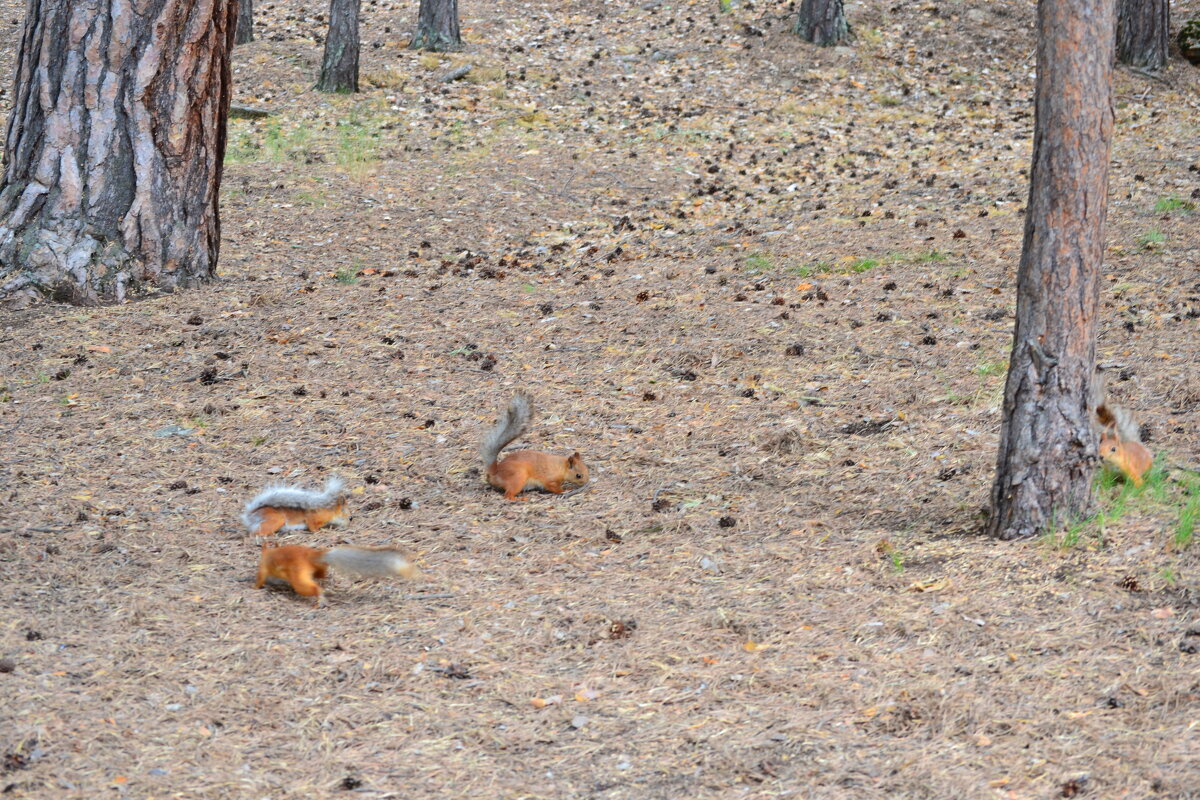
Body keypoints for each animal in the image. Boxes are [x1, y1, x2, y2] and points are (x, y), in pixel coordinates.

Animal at [254, 542, 417, 604]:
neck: (269, 553)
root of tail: (312, 555)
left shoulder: (263, 568)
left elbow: (260, 578)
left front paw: (254, 587)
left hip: (299, 578)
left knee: (311, 588)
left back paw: (320, 597)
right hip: (317, 569)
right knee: (321, 574)